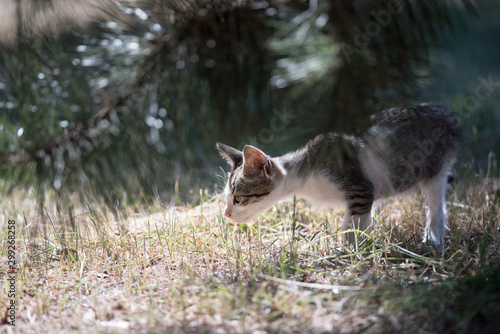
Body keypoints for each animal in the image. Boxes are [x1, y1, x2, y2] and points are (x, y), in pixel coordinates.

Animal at [217, 103, 462, 248]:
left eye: (238, 198)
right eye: (227, 198)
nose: (226, 214)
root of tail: (447, 113)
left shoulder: (360, 189)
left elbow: (352, 224)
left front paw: (347, 251)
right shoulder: (363, 196)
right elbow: (361, 220)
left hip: (434, 169)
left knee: (437, 206)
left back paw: (433, 239)